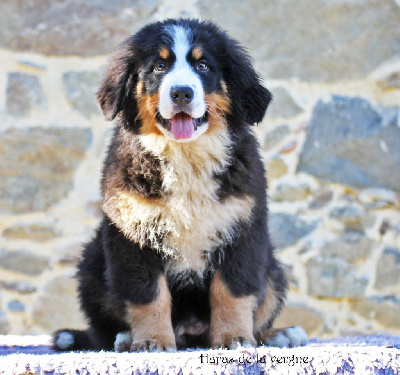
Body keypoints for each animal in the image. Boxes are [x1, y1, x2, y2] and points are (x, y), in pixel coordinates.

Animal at [51, 17, 306, 352]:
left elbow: (233, 290)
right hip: (93, 264)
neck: (186, 156)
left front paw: (234, 338)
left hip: (272, 269)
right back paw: (125, 338)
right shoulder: (132, 232)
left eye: (203, 65)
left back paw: (279, 334)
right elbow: (148, 294)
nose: (181, 93)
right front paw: (151, 341)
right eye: (160, 66)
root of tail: (191, 333)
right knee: (102, 330)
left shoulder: (242, 227)